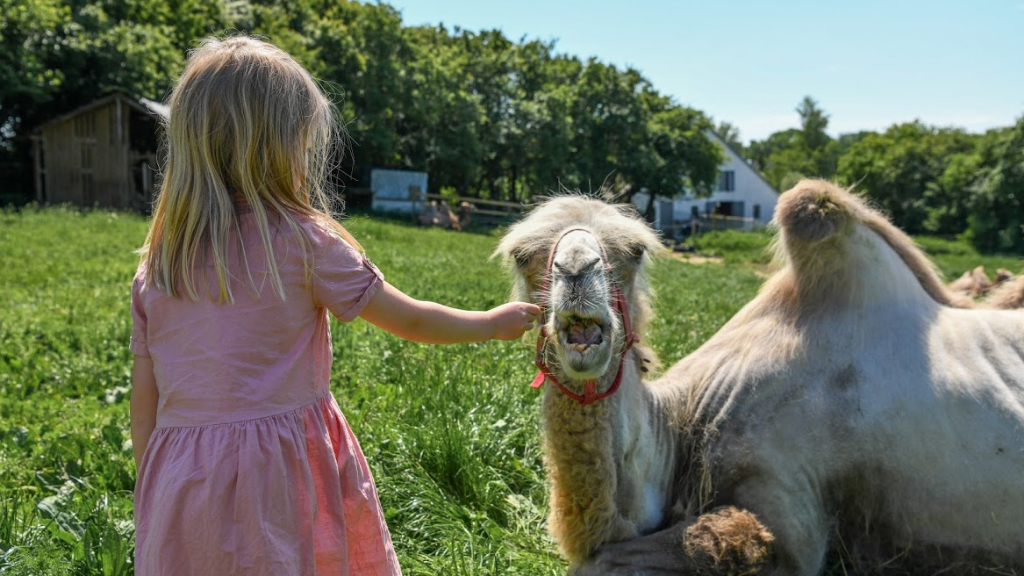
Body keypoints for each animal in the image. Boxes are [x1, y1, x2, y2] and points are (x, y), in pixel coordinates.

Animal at [496, 180, 1024, 576]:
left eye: (635, 250)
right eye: (523, 255)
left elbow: (599, 563)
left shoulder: (791, 517)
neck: (688, 423)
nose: (576, 269)